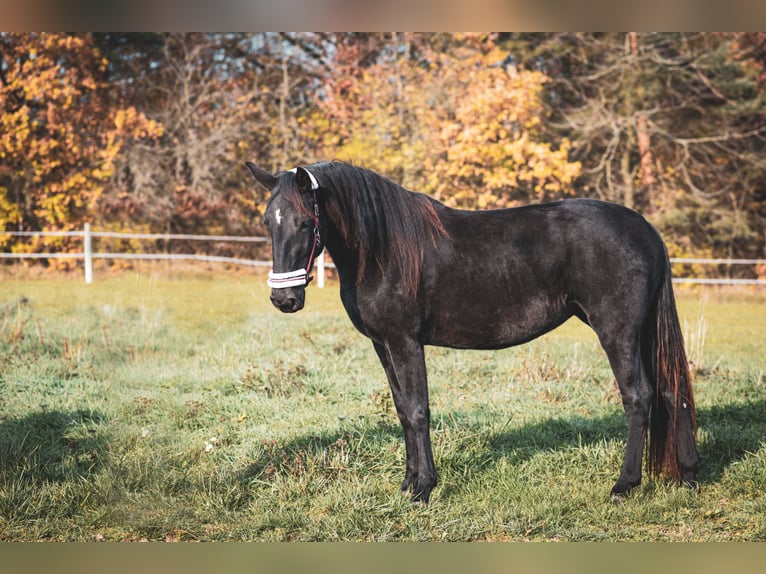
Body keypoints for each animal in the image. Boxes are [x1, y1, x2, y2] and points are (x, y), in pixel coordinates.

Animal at [246, 161, 704, 504]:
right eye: (268, 221)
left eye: (306, 222)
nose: (284, 299)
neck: (381, 249)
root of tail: (645, 229)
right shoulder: (382, 345)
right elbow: (402, 411)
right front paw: (407, 484)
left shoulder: (405, 342)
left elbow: (418, 410)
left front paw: (424, 489)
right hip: (644, 332)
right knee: (672, 390)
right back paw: (689, 476)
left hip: (618, 331)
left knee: (638, 396)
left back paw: (624, 485)